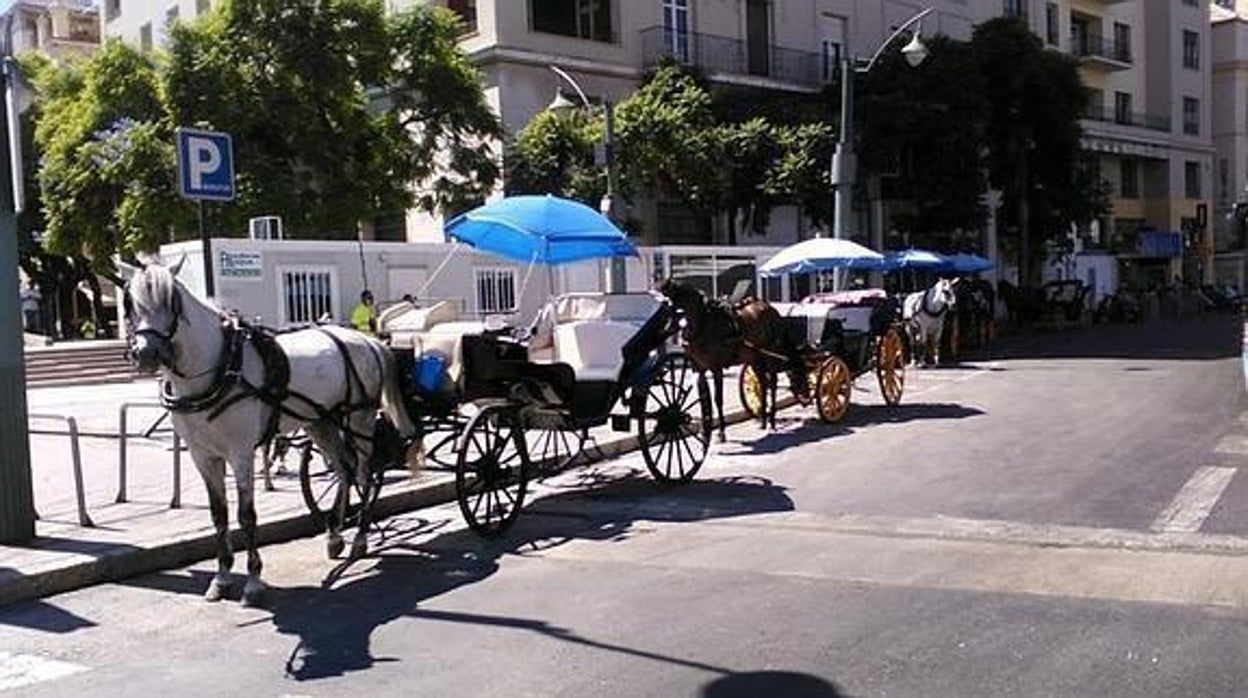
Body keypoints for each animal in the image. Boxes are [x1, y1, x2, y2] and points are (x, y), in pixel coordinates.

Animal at [125, 259, 419, 604]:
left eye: (172, 302)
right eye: (130, 303)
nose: (147, 354)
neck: (220, 368)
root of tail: (368, 341)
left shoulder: (240, 453)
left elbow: (246, 515)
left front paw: (253, 580)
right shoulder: (202, 455)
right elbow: (219, 514)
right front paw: (222, 576)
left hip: (359, 418)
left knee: (363, 474)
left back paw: (359, 538)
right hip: (320, 422)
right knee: (344, 471)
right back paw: (335, 535)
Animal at [663, 275, 808, 439]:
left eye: (670, 302)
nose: (667, 328)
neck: (703, 325)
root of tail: (771, 308)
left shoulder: (716, 368)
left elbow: (718, 399)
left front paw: (721, 431)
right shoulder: (698, 368)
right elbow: (704, 399)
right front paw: (705, 432)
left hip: (770, 354)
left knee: (773, 383)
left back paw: (771, 420)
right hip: (755, 357)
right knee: (763, 383)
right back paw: (763, 420)